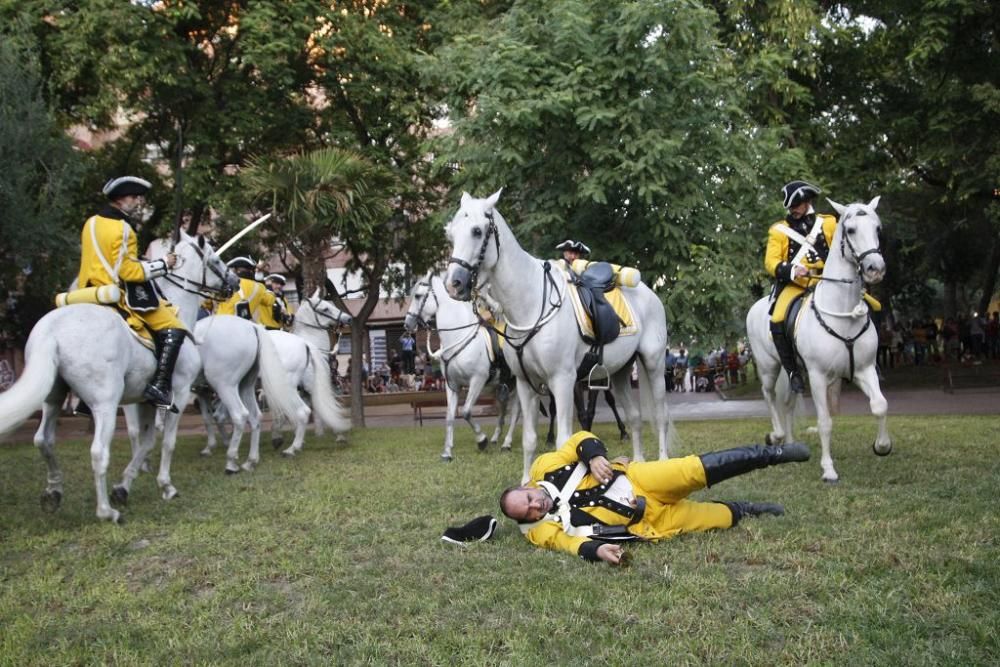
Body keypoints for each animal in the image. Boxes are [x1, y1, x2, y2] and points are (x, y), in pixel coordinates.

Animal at [442, 190, 668, 482]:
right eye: (450, 234)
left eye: (477, 231)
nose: (453, 284)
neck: (530, 303)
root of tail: (650, 293)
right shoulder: (525, 384)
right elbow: (529, 439)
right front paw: (527, 482)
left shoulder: (562, 381)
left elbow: (564, 441)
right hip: (620, 373)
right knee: (635, 418)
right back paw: (638, 464)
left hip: (654, 364)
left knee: (661, 416)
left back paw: (663, 461)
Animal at [748, 196, 896, 482]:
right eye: (851, 230)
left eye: (878, 228)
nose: (875, 269)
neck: (844, 312)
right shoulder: (817, 376)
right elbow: (825, 421)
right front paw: (828, 469)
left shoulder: (864, 369)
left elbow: (880, 405)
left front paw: (882, 445)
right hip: (769, 367)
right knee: (769, 395)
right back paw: (776, 435)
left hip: (793, 372)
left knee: (787, 403)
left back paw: (790, 445)